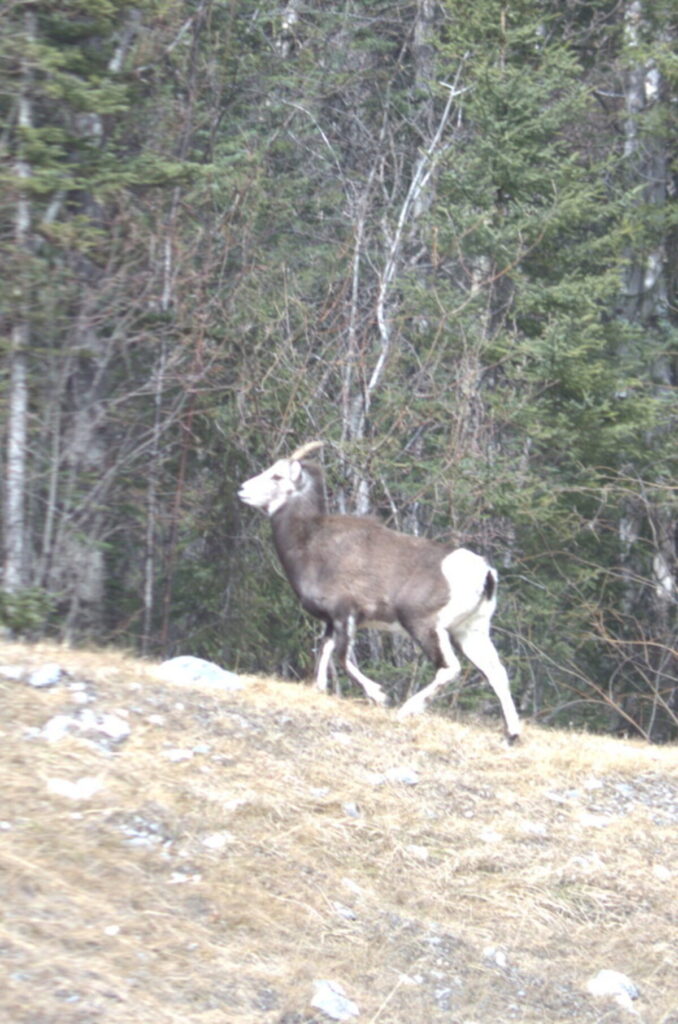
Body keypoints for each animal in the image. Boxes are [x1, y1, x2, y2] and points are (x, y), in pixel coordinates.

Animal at [238, 442, 521, 740]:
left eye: (277, 476)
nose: (242, 489)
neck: (310, 544)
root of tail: (485, 572)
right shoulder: (332, 622)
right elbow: (325, 652)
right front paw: (321, 689)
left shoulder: (346, 615)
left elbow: (342, 658)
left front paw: (379, 696)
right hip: (470, 632)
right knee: (497, 672)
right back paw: (512, 735)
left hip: (425, 627)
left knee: (449, 668)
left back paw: (406, 710)